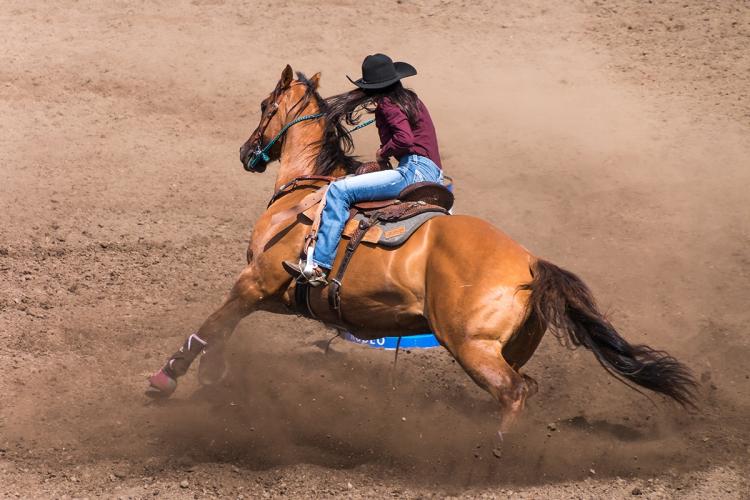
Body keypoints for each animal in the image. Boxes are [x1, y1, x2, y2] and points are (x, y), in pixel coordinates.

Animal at [147, 65, 696, 439]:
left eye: (265, 105)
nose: (247, 154)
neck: (307, 190)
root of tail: (530, 263)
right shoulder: (270, 296)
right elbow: (223, 331)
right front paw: (213, 379)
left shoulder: (255, 281)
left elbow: (210, 326)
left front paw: (165, 379)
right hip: (508, 347)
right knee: (524, 388)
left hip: (470, 346)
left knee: (513, 392)